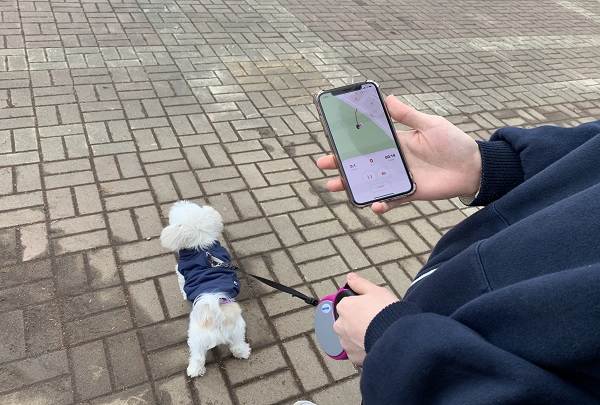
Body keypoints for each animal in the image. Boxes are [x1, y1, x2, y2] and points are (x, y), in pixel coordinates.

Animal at [159, 199, 251, 376]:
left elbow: (182, 284)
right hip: (237, 330)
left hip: (196, 339)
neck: (201, 247)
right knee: (237, 345)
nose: (178, 202)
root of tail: (217, 317)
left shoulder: (181, 272)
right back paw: (244, 352)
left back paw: (193, 371)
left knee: (198, 357)